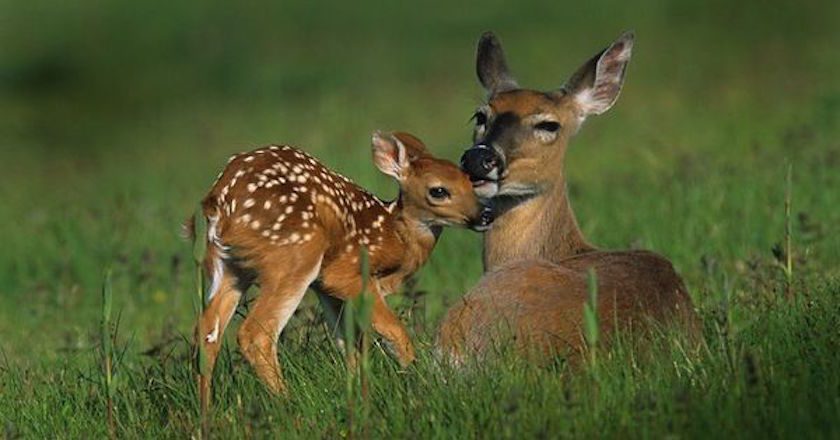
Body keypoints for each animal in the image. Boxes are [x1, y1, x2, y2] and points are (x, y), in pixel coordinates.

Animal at [189, 131, 492, 408]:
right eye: (438, 191)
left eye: (470, 181)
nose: (485, 215)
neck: (392, 238)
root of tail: (219, 203)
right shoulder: (347, 275)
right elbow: (394, 333)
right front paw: (416, 381)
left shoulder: (326, 289)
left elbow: (348, 341)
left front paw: (357, 390)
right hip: (295, 254)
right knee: (256, 334)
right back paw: (289, 405)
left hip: (229, 267)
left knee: (207, 330)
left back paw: (206, 413)